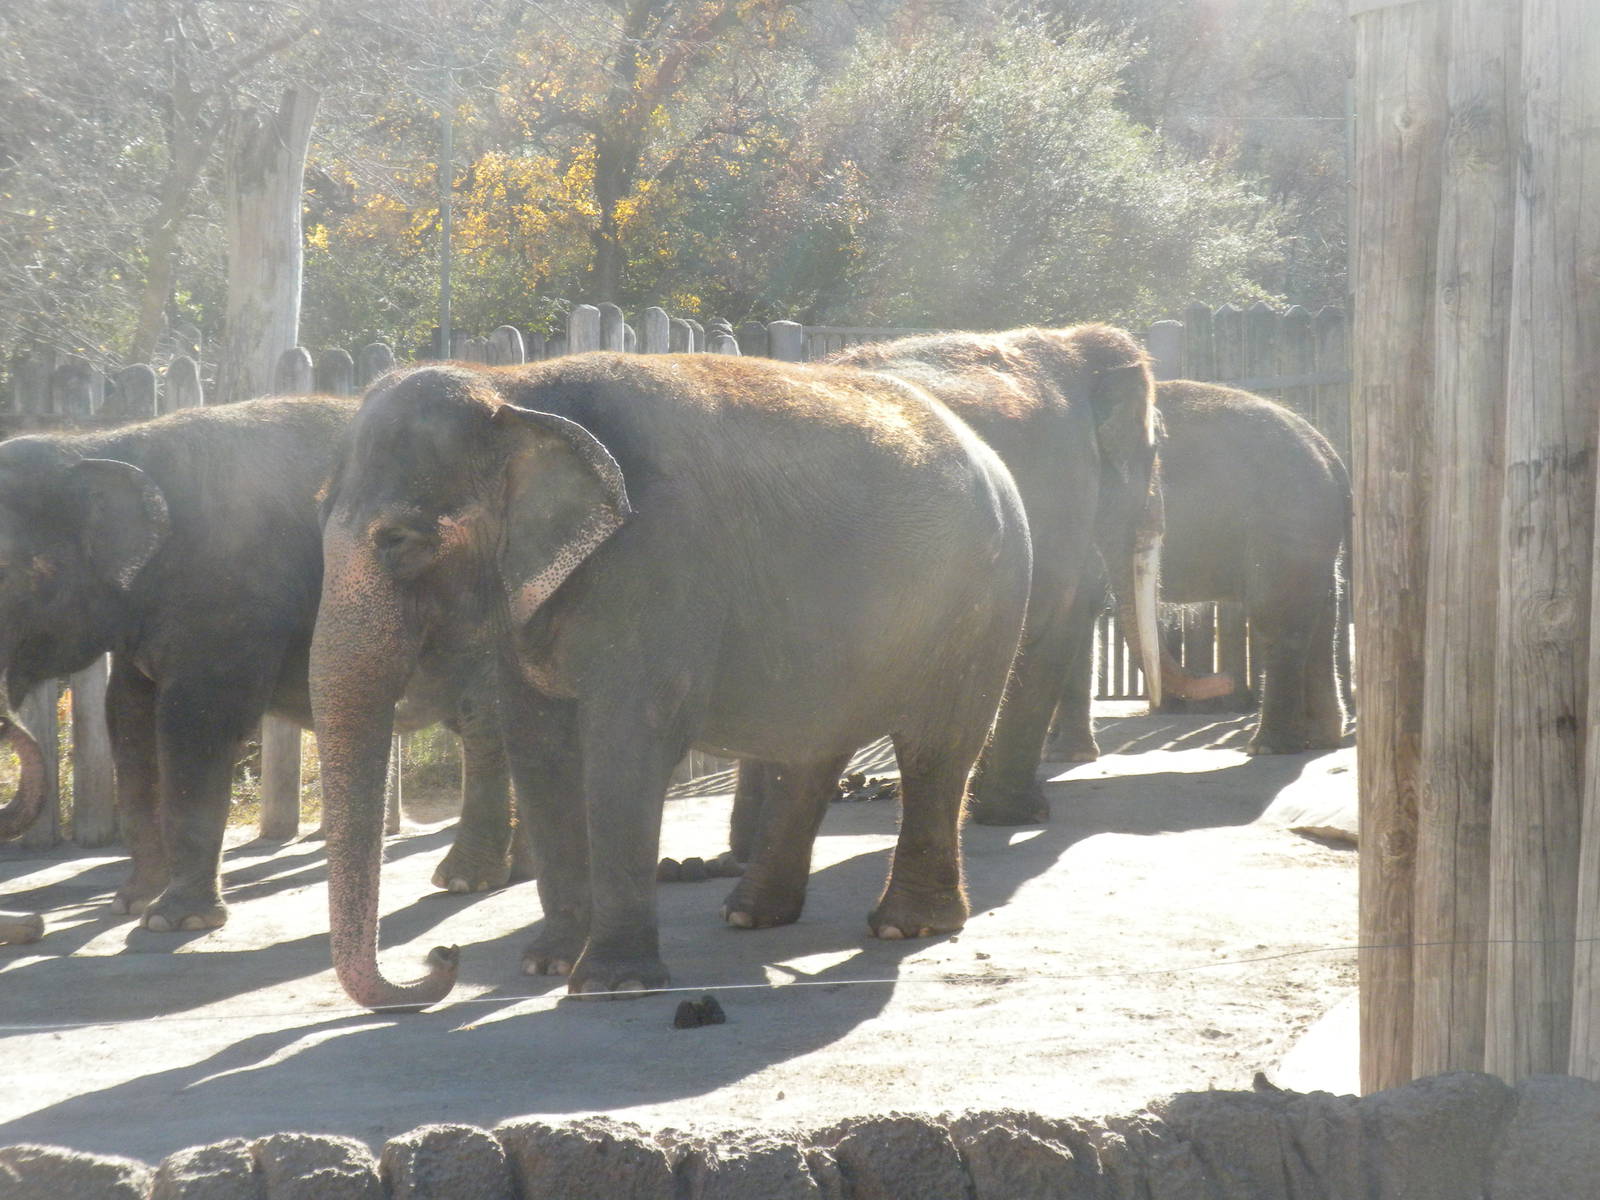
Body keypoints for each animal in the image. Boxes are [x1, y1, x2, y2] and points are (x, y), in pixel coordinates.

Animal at [0, 397, 519, 934]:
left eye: (8, 573)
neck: (102, 444)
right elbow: (128, 720)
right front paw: (132, 904)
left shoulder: (229, 596)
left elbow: (196, 723)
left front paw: (176, 922)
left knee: (485, 717)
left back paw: (466, 880)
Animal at [309, 352, 1033, 1008]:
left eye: (397, 540)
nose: (444, 957)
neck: (515, 388)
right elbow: (540, 749)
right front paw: (545, 964)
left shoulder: (658, 568)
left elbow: (624, 749)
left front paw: (610, 986)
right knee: (813, 753)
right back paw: (750, 915)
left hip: (983, 601)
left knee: (936, 749)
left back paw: (906, 926)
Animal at [1050, 379, 1352, 759]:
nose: (1224, 679)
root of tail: (1331, 455)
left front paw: (1067, 756)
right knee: (1323, 613)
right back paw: (1321, 738)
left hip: (1288, 519)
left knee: (1278, 615)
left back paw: (1269, 747)